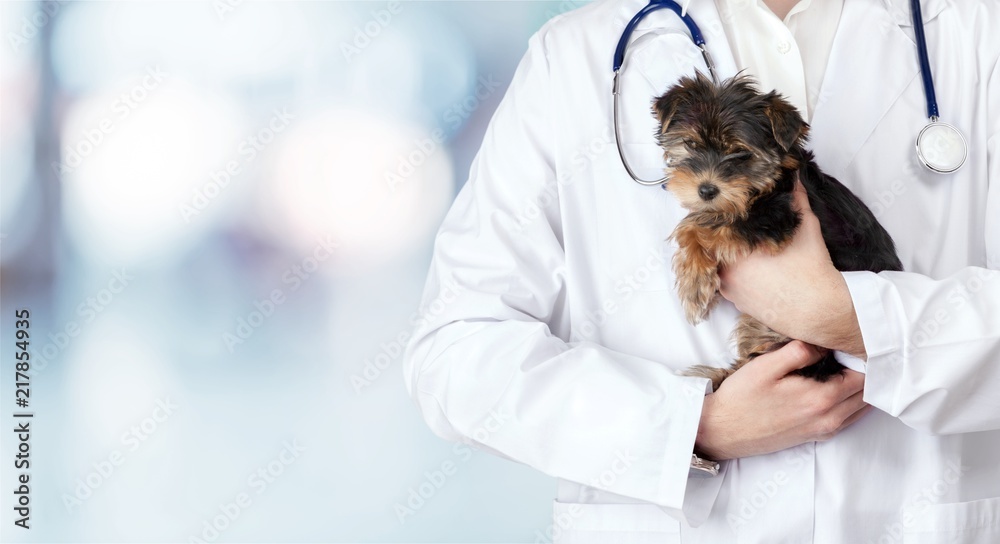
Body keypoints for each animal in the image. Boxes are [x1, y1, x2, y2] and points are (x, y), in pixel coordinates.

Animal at [652, 74, 904, 392]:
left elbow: (698, 226)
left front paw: (694, 286)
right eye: (690, 144)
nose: (706, 190)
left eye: (741, 154)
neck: (766, 183)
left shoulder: (775, 219)